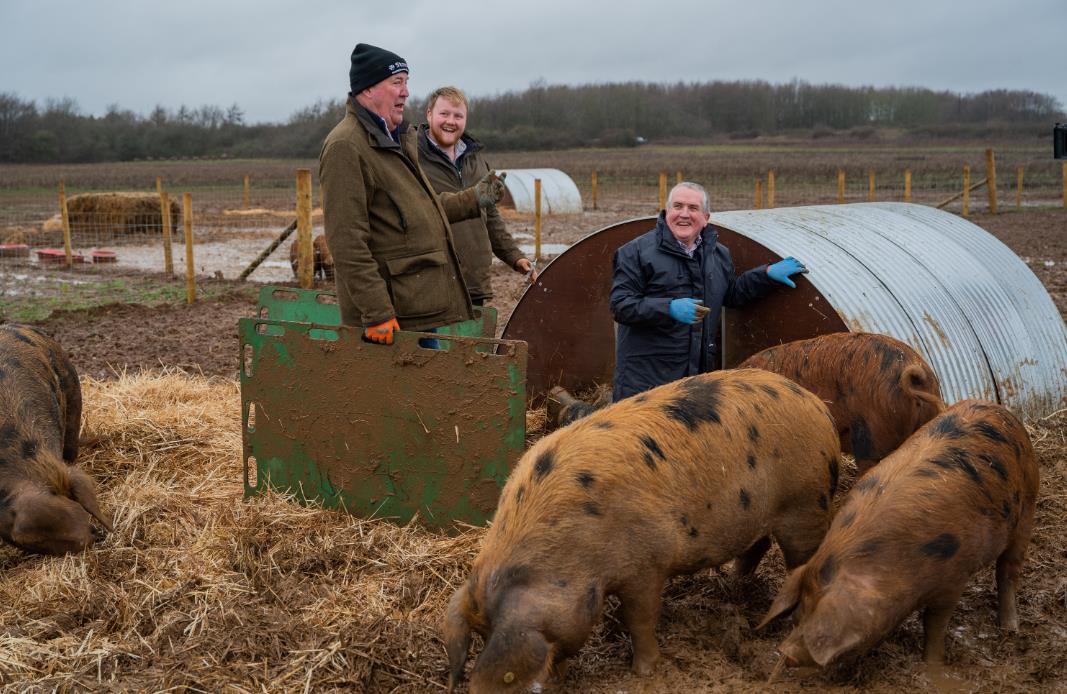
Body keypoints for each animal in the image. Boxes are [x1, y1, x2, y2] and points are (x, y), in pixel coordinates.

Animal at [441, 365, 840, 687]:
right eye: (479, 633)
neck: (573, 550)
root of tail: (819, 407)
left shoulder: (647, 565)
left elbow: (642, 618)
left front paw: (645, 672)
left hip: (806, 503)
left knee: (801, 563)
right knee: (757, 545)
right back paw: (732, 579)